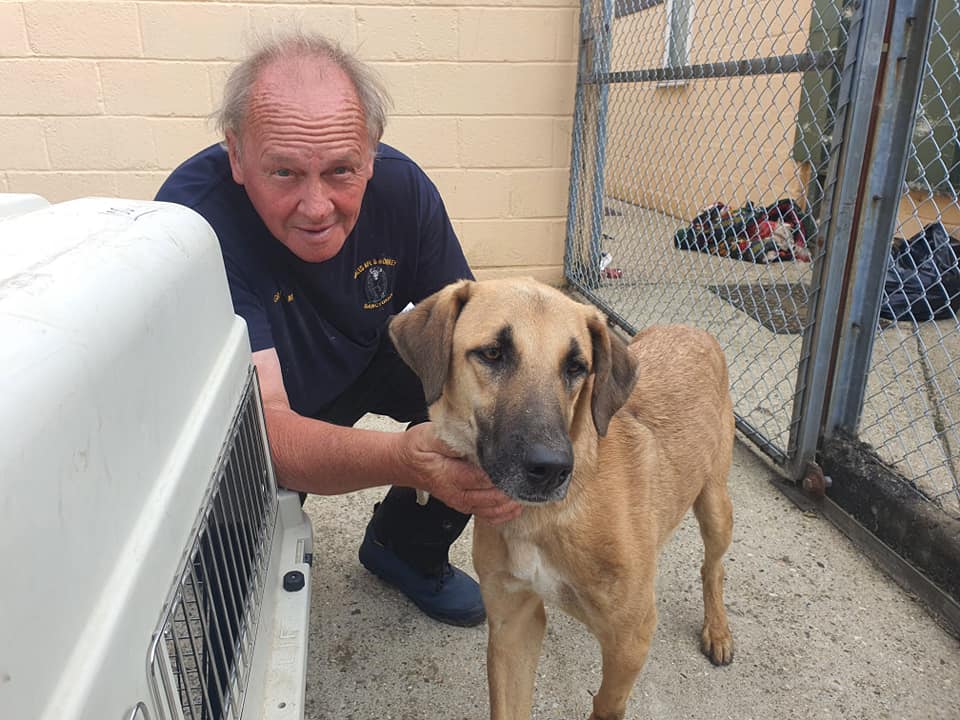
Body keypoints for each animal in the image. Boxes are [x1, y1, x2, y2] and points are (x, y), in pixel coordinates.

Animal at [390, 278, 736, 720]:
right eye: (492, 353)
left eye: (576, 367)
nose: (552, 469)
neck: (546, 518)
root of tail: (693, 329)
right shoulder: (512, 623)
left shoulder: (631, 640)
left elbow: (605, 704)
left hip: (715, 505)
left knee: (714, 567)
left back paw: (718, 631)